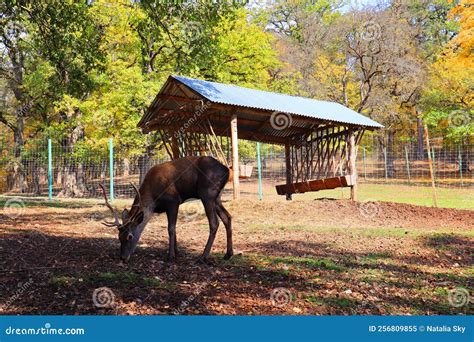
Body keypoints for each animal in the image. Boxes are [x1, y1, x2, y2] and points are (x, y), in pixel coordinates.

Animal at [100, 156, 233, 264]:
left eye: (130, 236)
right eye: (119, 236)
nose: (122, 258)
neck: (153, 198)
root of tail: (227, 170)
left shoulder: (173, 200)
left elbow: (171, 228)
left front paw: (171, 256)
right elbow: (174, 228)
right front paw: (177, 252)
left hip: (207, 193)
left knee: (214, 223)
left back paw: (203, 257)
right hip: (217, 197)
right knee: (227, 217)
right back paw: (228, 254)